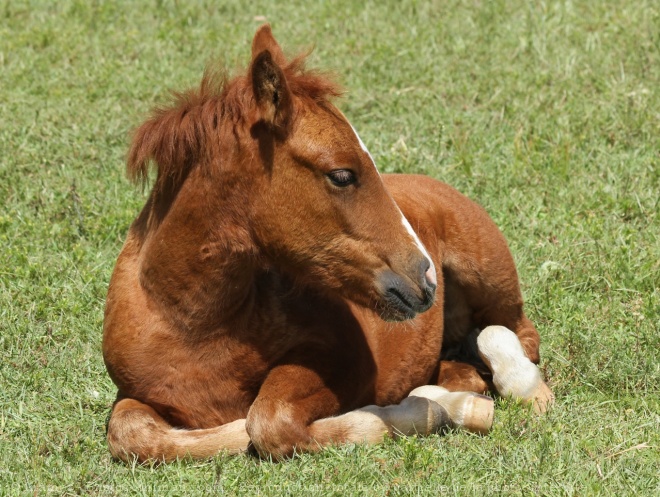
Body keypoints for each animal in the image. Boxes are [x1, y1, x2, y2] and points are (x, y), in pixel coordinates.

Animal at [104, 24, 552, 462]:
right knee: (466, 366)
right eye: (341, 175)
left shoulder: (344, 358)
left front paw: (422, 412)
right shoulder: (135, 394)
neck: (188, 324)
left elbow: (267, 420)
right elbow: (131, 434)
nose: (425, 276)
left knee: (510, 333)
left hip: (488, 276)